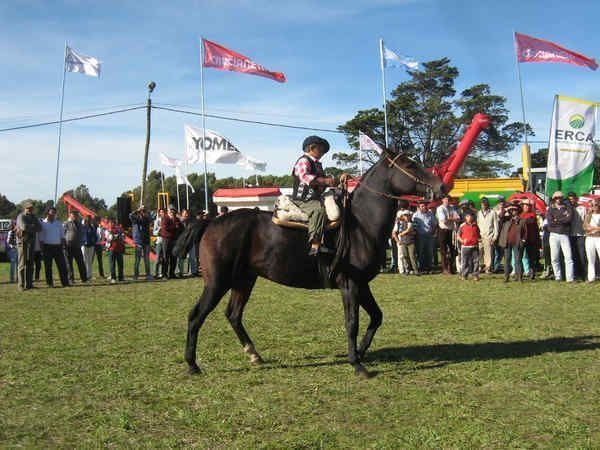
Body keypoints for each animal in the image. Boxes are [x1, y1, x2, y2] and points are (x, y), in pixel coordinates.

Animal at [183, 149, 446, 378]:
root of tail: (211, 222)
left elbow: (376, 317)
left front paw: (360, 353)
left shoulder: (362, 285)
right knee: (196, 316)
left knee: (233, 315)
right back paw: (192, 364)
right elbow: (352, 322)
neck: (360, 225)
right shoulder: (350, 284)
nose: (442, 186)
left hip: (244, 280)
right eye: (410, 165)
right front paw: (357, 364)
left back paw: (254, 354)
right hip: (217, 282)